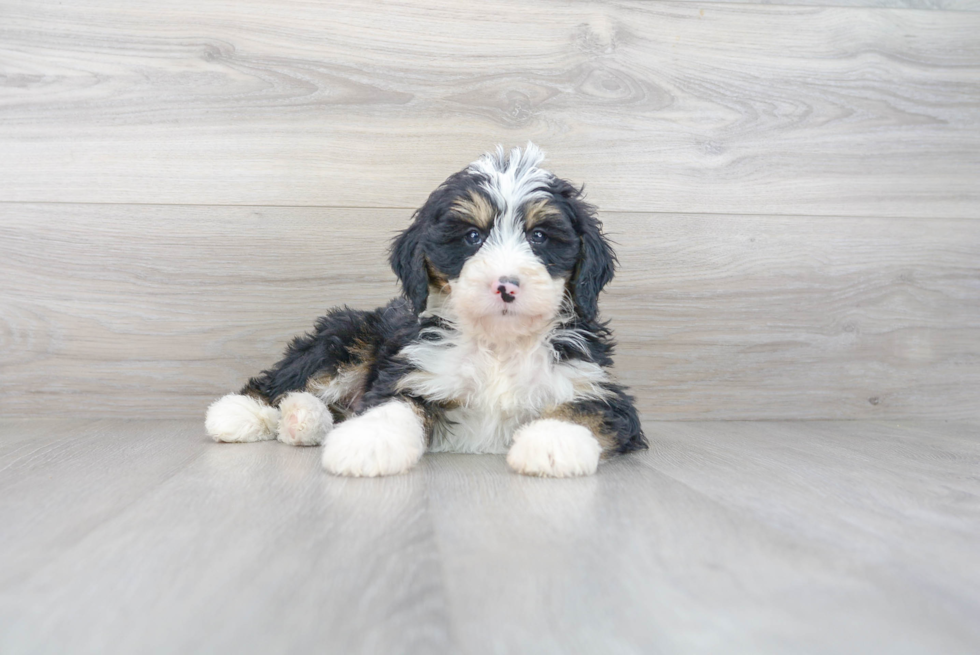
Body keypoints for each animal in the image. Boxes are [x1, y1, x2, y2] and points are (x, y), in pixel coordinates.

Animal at [206, 144, 648, 476]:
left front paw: (552, 444)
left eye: (539, 236)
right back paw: (242, 413)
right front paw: (368, 442)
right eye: (472, 237)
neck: (499, 346)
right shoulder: (410, 373)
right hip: (348, 334)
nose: (505, 286)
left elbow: (582, 410)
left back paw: (301, 420)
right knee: (287, 378)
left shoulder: (597, 387)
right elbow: (392, 407)